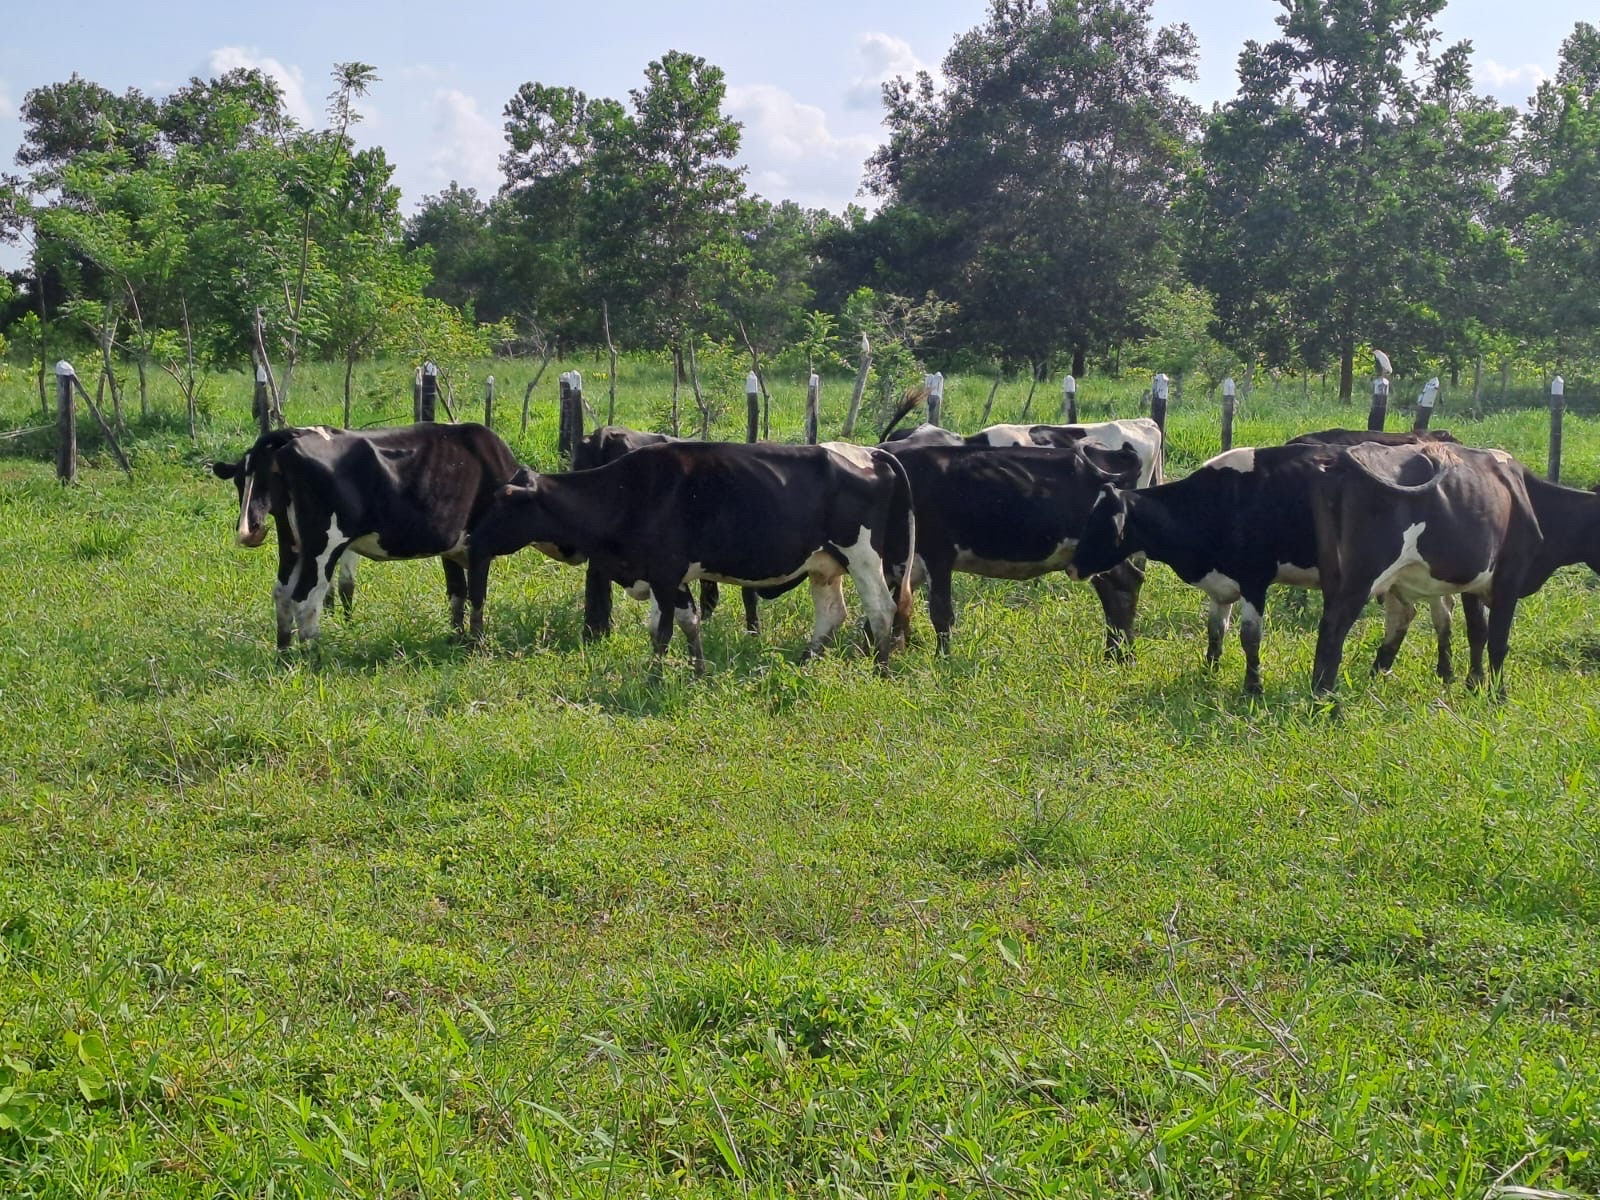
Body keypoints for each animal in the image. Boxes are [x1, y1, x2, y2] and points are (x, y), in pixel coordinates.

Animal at [211, 422, 524, 649]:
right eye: (239, 482)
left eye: (261, 480)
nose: (250, 529)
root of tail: (291, 438)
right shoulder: (479, 547)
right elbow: (476, 597)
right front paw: (476, 645)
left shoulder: (453, 548)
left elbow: (457, 594)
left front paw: (457, 639)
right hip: (323, 545)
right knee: (306, 598)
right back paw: (314, 658)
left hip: (292, 544)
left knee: (282, 594)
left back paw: (284, 655)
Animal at [467, 441, 915, 672]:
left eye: (503, 501)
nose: (471, 538)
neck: (628, 491)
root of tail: (869, 451)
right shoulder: (671, 577)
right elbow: (684, 624)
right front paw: (696, 671)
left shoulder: (665, 572)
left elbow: (664, 631)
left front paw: (654, 678)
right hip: (825, 564)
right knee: (832, 614)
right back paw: (804, 662)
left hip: (862, 555)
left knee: (881, 608)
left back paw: (880, 669)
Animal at [889, 448, 1152, 659]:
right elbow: (895, 610)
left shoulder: (938, 553)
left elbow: (939, 612)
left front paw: (941, 659)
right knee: (1116, 589)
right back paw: (1117, 655)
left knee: (1125, 584)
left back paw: (1121, 654)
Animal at [1299, 444, 1600, 694]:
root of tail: (1340, 462)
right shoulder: (1510, 576)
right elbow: (1499, 640)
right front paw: (1498, 696)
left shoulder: (1474, 581)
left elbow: (1478, 631)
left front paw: (1474, 686)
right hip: (1362, 577)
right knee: (1334, 630)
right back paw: (1329, 703)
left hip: (1335, 576)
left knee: (1327, 626)